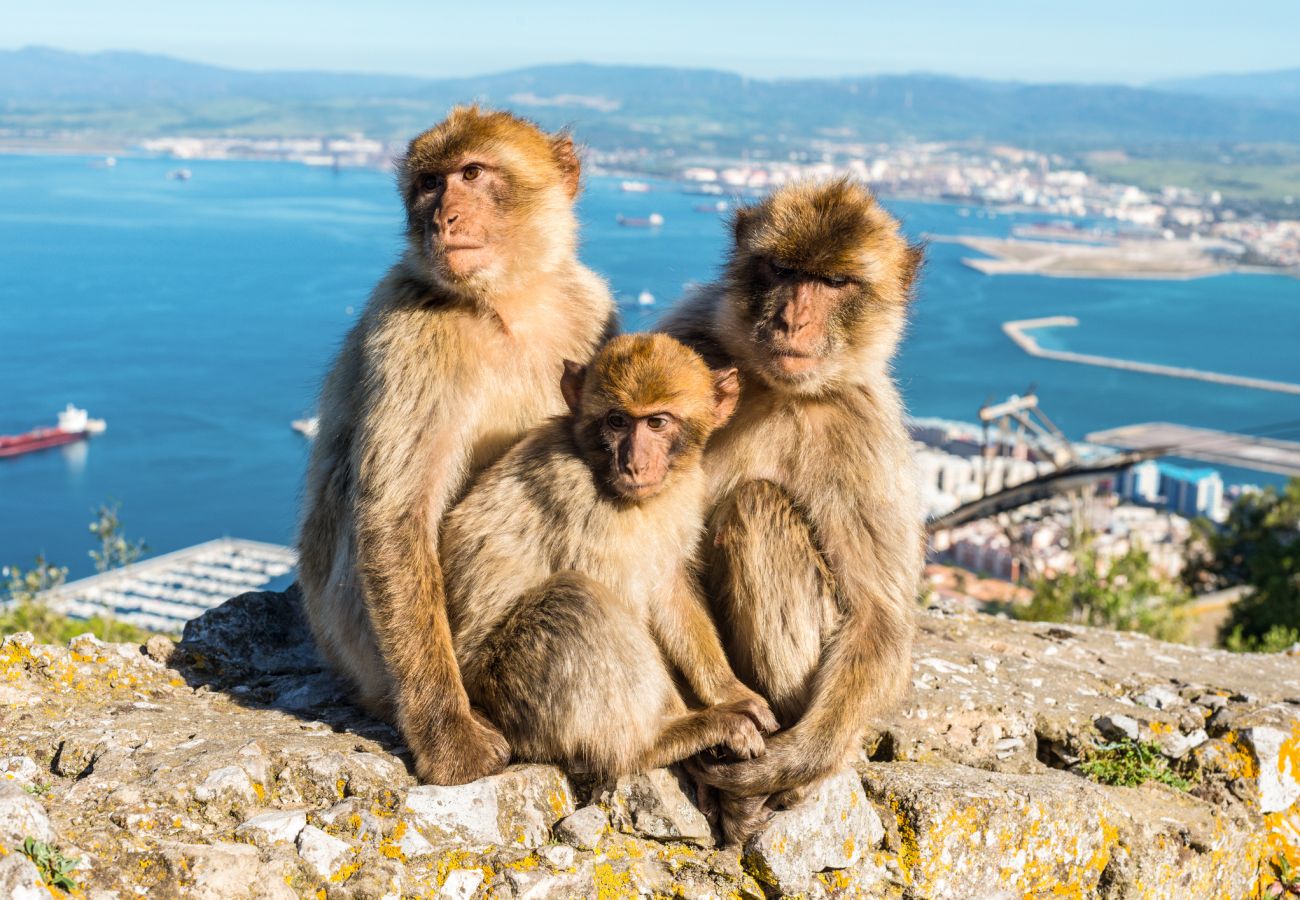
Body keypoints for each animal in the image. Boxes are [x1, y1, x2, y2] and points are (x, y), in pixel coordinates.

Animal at [297, 103, 616, 780]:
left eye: (471, 173)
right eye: (428, 183)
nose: (441, 216)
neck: (508, 304)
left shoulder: (592, 308)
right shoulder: (412, 333)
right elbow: (396, 518)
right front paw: (447, 734)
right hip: (362, 648)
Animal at [441, 332, 774, 775]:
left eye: (656, 422)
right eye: (617, 421)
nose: (633, 464)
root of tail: (477, 704)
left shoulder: (684, 492)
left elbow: (669, 589)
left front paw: (730, 691)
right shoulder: (583, 505)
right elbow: (622, 603)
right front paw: (691, 718)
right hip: (508, 692)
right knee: (574, 600)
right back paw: (654, 742)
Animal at [660, 178, 925, 842]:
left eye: (833, 283)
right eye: (783, 270)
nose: (792, 318)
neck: (778, 390)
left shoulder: (865, 429)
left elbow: (879, 618)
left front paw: (794, 760)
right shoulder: (687, 341)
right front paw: (730, 706)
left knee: (757, 509)